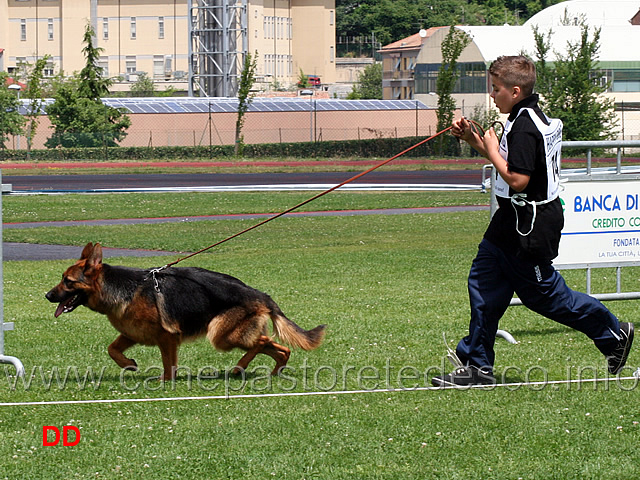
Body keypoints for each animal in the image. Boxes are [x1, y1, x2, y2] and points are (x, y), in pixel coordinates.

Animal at [46, 242, 324, 380]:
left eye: (67, 282)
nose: (47, 296)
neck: (122, 289)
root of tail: (261, 295)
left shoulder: (167, 338)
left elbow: (168, 365)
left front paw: (165, 382)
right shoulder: (132, 333)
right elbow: (112, 349)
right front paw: (129, 365)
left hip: (221, 335)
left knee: (262, 341)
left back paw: (239, 367)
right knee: (281, 348)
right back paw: (274, 372)